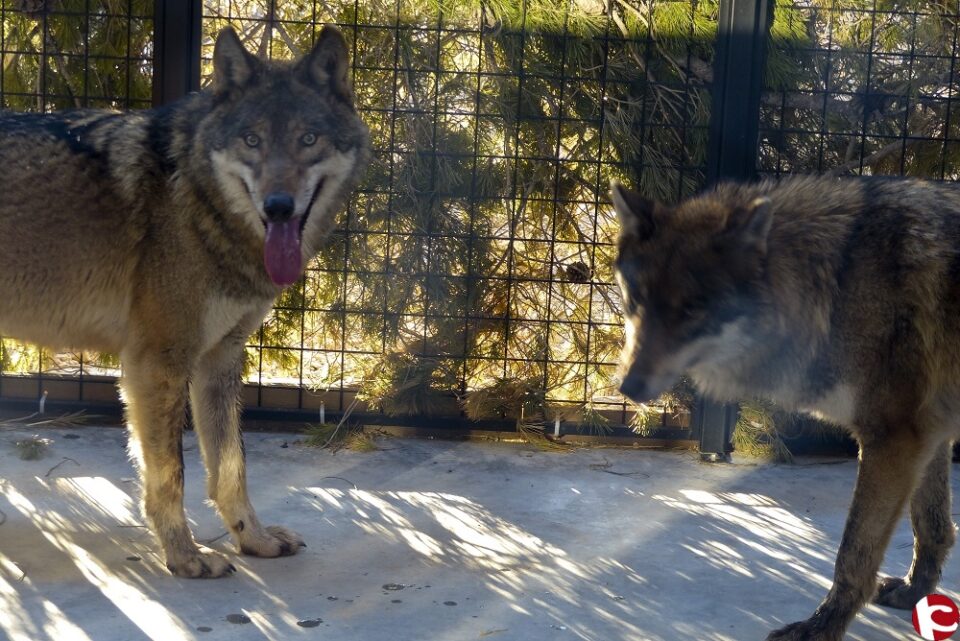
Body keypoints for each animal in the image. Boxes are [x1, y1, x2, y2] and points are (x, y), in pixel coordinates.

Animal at [0, 26, 370, 577]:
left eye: (308, 139)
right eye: (252, 140)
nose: (278, 207)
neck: (198, 201)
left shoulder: (220, 358)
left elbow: (231, 466)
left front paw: (254, 539)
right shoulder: (157, 362)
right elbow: (169, 473)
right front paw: (184, 556)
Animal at [612, 176, 959, 640]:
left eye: (691, 310)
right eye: (635, 301)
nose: (628, 386)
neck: (836, 285)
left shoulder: (894, 440)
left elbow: (854, 554)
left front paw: (823, 626)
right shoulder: (926, 433)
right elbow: (933, 525)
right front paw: (916, 592)